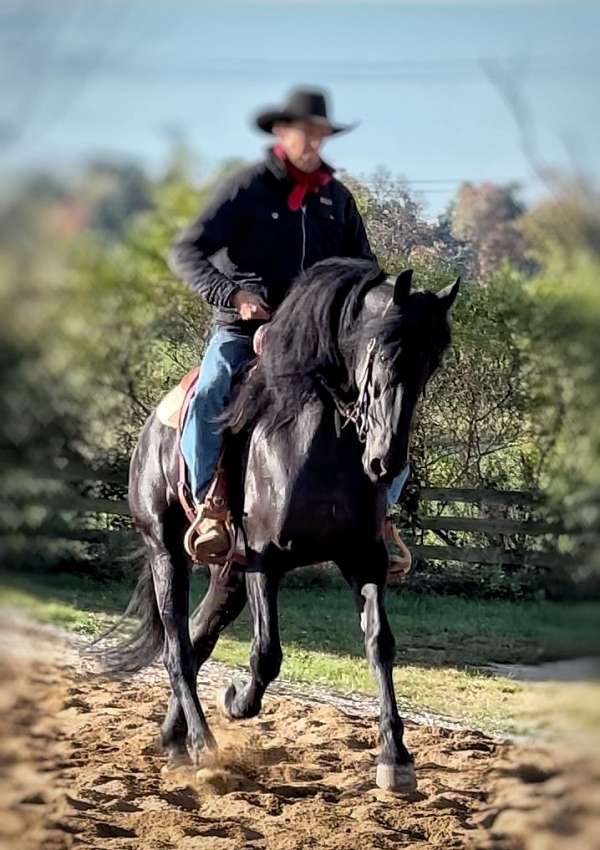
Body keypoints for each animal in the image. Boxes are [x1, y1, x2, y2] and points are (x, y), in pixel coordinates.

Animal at [104, 258, 460, 796]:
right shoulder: (264, 561)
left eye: (432, 363)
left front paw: (395, 759)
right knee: (177, 648)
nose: (386, 462)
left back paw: (175, 743)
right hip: (167, 552)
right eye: (382, 351)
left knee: (199, 635)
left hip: (226, 574)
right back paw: (203, 748)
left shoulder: (364, 559)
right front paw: (236, 700)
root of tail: (150, 431)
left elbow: (380, 643)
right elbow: (267, 653)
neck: (319, 445)